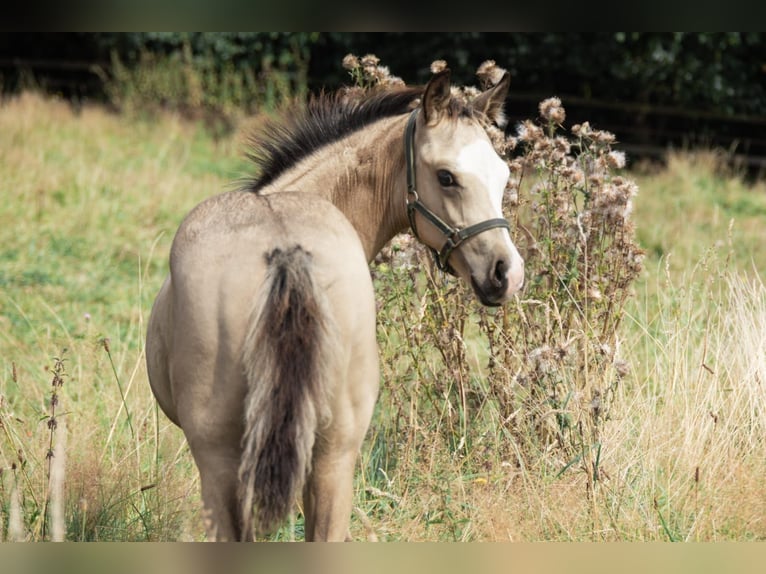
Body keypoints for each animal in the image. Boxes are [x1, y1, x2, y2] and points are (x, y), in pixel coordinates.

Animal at [146, 68, 524, 544]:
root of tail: (286, 251)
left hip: (224, 461)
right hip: (334, 455)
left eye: (502, 174)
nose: (507, 273)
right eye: (446, 177)